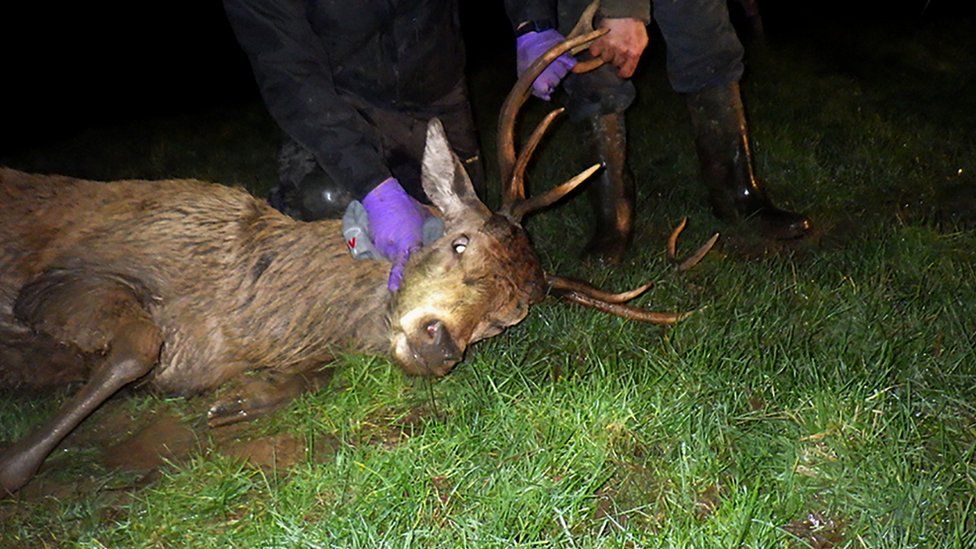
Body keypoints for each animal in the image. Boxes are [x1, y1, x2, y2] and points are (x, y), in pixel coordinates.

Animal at [0, 14, 717, 494]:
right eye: (459, 242)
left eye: (508, 318)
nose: (439, 344)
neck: (239, 314)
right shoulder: (67, 272)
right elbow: (136, 346)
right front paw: (14, 466)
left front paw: (243, 399)